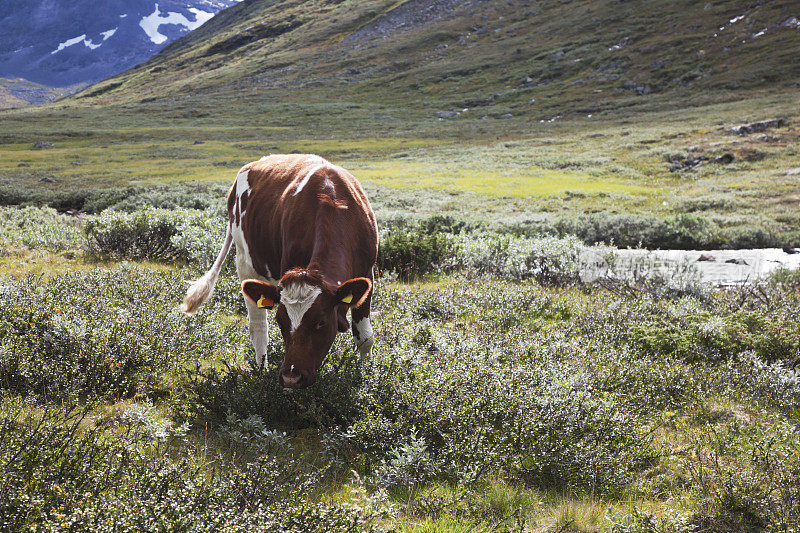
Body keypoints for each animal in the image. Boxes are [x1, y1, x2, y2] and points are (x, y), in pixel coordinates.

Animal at [180, 152, 378, 388]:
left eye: (321, 321)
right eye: (281, 320)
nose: (291, 377)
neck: (333, 204)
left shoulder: (367, 275)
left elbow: (365, 338)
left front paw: (366, 378)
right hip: (245, 264)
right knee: (258, 328)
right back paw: (261, 374)